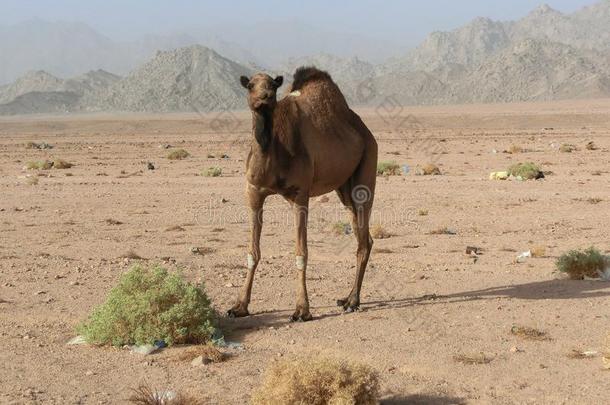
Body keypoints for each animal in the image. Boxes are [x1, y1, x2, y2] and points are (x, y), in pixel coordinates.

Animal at [227, 66, 376, 320]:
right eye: (250, 86)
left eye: (273, 85)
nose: (265, 96)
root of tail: (366, 132)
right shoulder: (254, 192)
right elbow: (252, 252)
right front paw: (239, 306)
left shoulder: (300, 194)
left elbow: (301, 252)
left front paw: (301, 310)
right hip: (344, 189)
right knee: (363, 236)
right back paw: (346, 298)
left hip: (367, 169)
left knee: (364, 238)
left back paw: (353, 301)